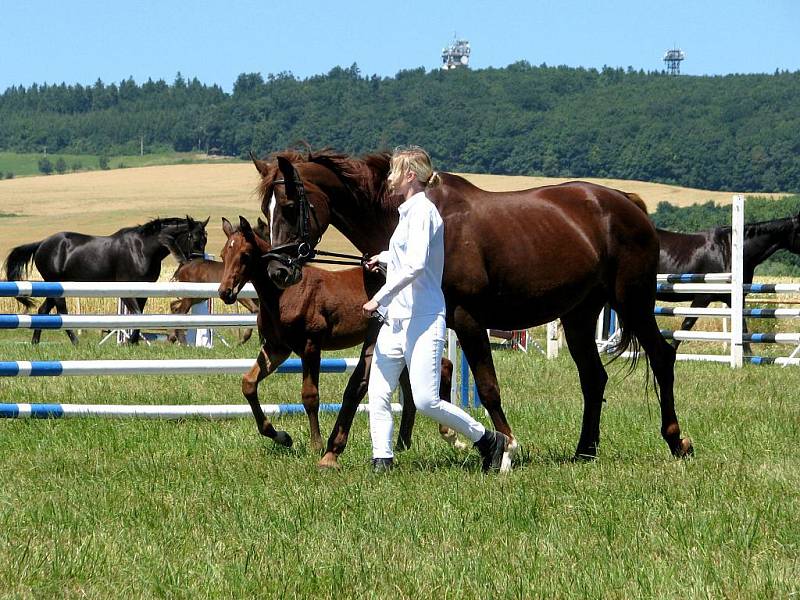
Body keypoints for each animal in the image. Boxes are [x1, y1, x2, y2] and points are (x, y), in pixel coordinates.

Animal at [3, 218, 209, 344]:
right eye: (193, 237)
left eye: (205, 239)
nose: (198, 262)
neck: (143, 248)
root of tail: (42, 244)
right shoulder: (127, 290)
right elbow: (136, 314)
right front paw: (130, 342)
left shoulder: (143, 291)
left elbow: (140, 314)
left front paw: (132, 342)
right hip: (57, 285)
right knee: (61, 311)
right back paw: (75, 342)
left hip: (56, 287)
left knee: (43, 311)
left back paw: (35, 342)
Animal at [219, 216, 454, 454]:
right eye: (222, 255)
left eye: (245, 255)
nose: (225, 292)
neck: (284, 294)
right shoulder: (277, 348)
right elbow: (249, 383)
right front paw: (282, 436)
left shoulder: (310, 347)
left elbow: (310, 396)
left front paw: (316, 445)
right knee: (413, 382)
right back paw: (403, 443)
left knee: (443, 366)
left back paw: (449, 432)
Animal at [258, 149, 692, 468]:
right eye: (267, 211)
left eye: (291, 204)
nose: (279, 270)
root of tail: (626, 204)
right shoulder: (383, 324)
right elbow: (357, 385)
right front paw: (332, 451)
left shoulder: (468, 320)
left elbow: (487, 388)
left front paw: (505, 446)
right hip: (579, 316)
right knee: (593, 378)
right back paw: (585, 451)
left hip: (633, 304)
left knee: (662, 357)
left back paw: (677, 442)